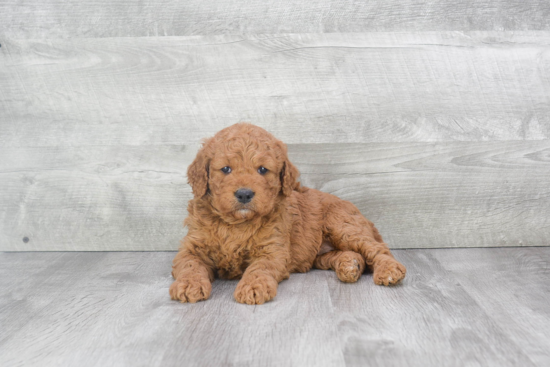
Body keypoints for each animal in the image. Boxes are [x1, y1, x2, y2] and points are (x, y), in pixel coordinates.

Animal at [170, 123, 408, 304]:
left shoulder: (273, 250)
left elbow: (259, 268)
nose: (245, 194)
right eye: (226, 169)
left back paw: (389, 270)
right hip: (321, 254)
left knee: (377, 249)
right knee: (346, 254)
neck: (236, 224)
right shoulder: (192, 247)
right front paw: (189, 284)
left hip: (343, 226)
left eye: (262, 170)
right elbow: (189, 264)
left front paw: (253, 287)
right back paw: (350, 265)